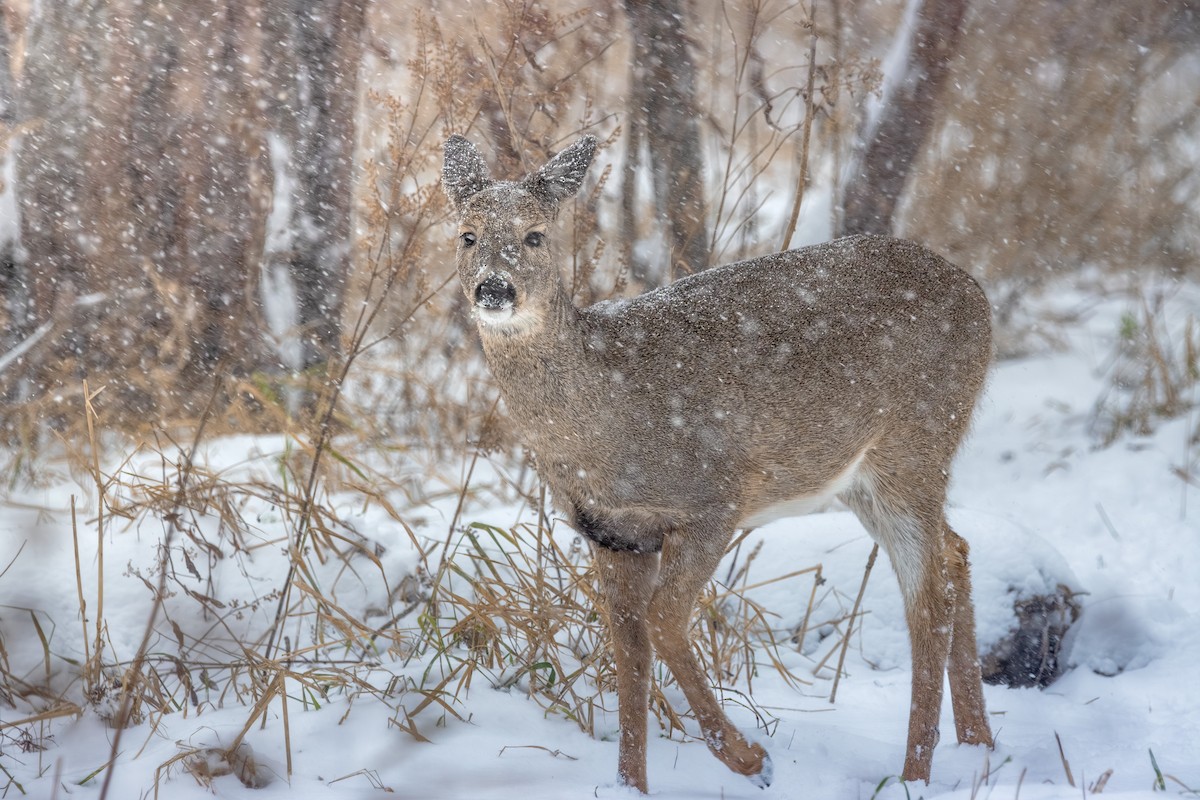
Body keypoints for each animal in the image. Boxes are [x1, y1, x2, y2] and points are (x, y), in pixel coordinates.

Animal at [441, 133, 995, 792]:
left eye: (535, 235)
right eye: (466, 235)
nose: (493, 289)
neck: (602, 422)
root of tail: (980, 296)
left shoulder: (712, 501)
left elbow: (663, 623)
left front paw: (752, 758)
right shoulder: (611, 534)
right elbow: (629, 651)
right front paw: (631, 785)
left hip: (915, 441)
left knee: (928, 590)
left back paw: (915, 774)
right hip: (864, 477)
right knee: (956, 551)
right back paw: (979, 746)